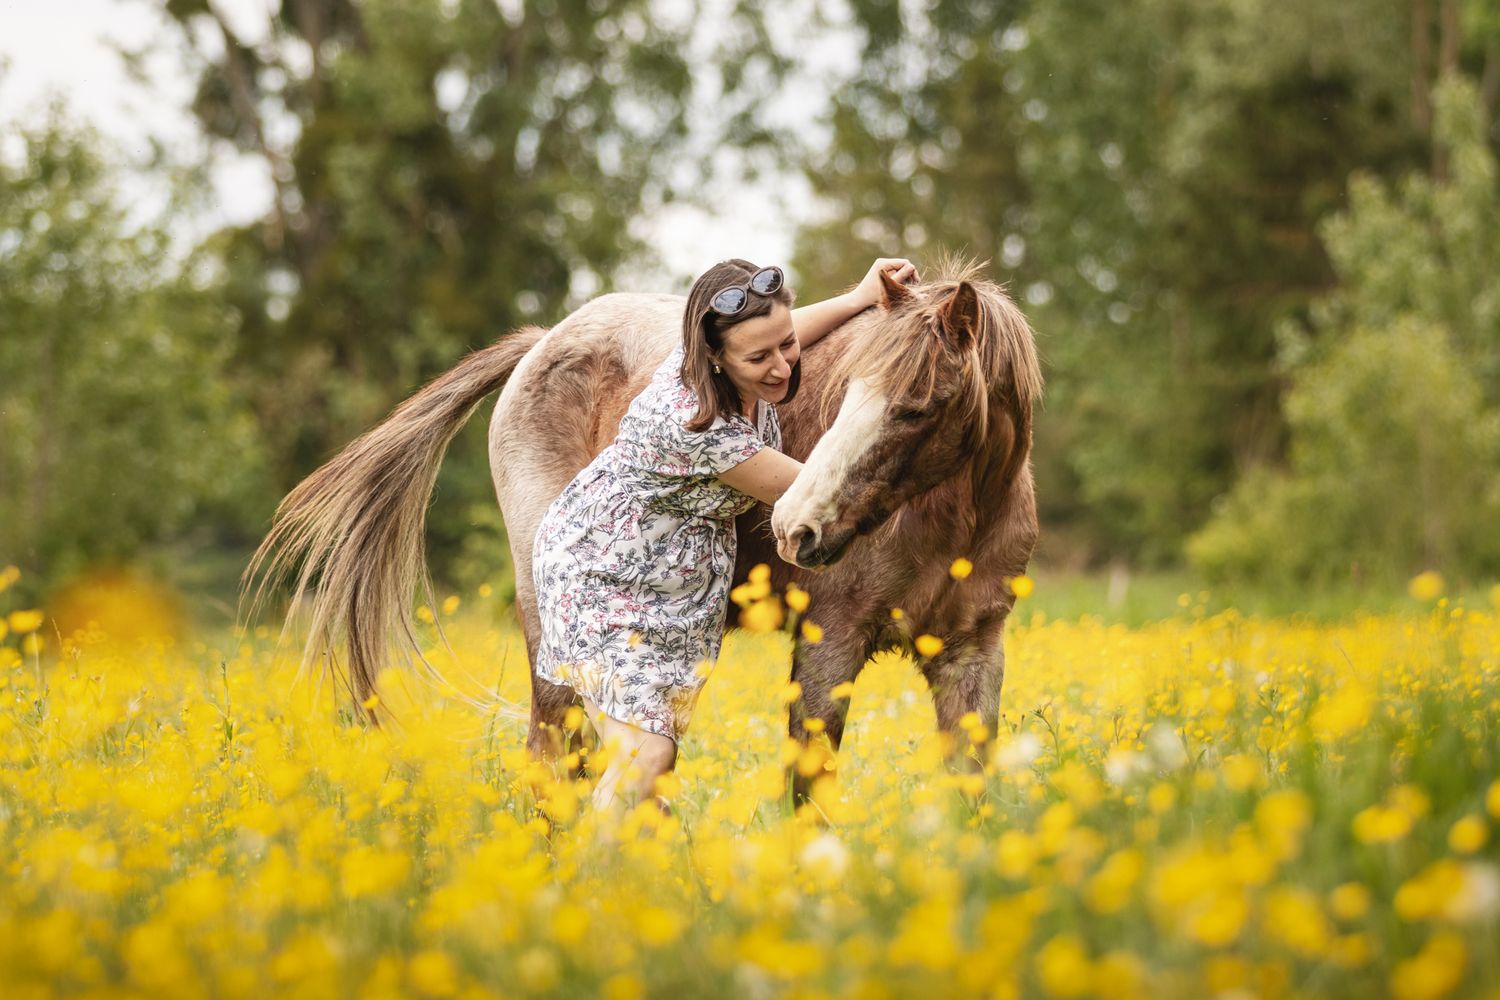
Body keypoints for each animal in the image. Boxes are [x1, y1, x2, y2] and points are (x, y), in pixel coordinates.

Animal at [246, 258, 1041, 794]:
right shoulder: (829, 645)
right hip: (552, 642)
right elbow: (808, 793)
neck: (958, 517)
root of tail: (541, 342)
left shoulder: (972, 656)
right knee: (558, 760)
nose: (799, 529)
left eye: (916, 407)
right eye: (847, 396)